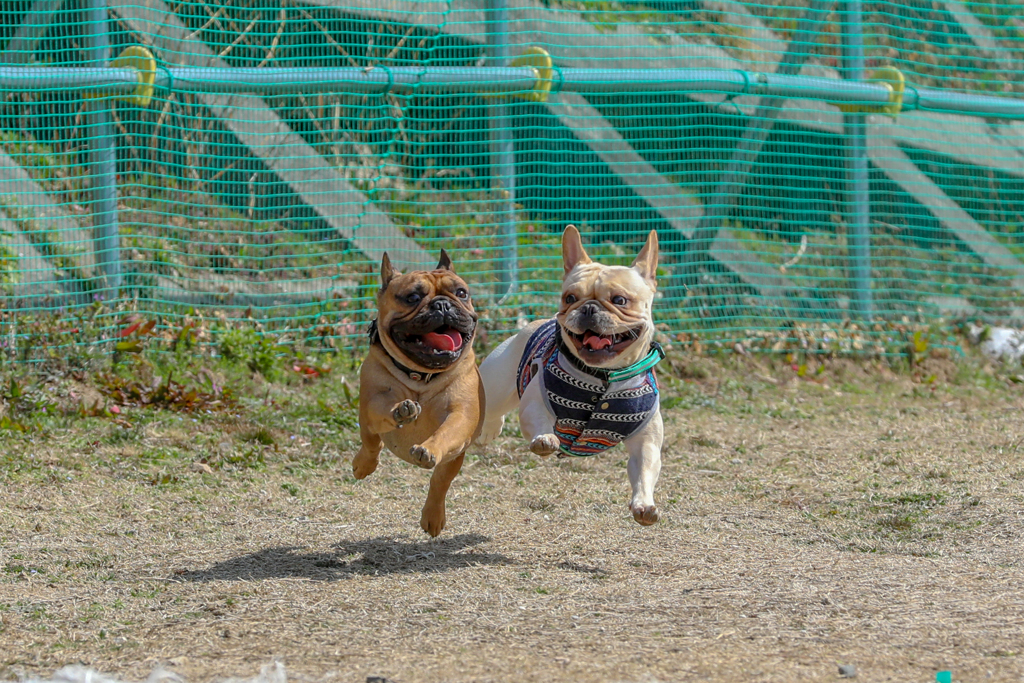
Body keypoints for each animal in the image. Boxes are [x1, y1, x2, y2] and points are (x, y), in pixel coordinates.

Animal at [352, 250, 483, 540]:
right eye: (412, 297)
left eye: (461, 292)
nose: (443, 305)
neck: (422, 375)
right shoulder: (373, 401)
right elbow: (383, 410)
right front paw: (400, 411)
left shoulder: (461, 414)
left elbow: (447, 431)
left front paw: (428, 448)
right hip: (367, 425)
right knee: (371, 444)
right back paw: (362, 465)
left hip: (454, 457)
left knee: (440, 481)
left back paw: (433, 517)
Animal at [477, 227, 663, 528]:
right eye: (570, 298)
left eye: (619, 300)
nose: (588, 308)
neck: (604, 376)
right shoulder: (535, 404)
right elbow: (539, 422)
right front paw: (545, 439)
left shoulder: (645, 441)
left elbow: (645, 468)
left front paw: (644, 505)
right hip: (496, 386)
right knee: (485, 406)